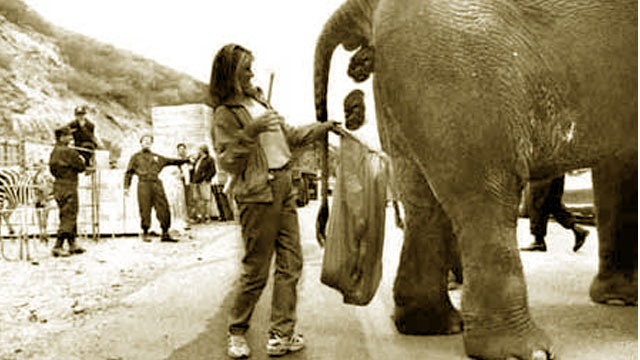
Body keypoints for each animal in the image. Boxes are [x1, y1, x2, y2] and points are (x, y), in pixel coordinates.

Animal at [314, 0, 636, 360]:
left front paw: (618, 299)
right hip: (460, 65)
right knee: (487, 198)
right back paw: (522, 350)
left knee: (423, 202)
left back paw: (432, 326)